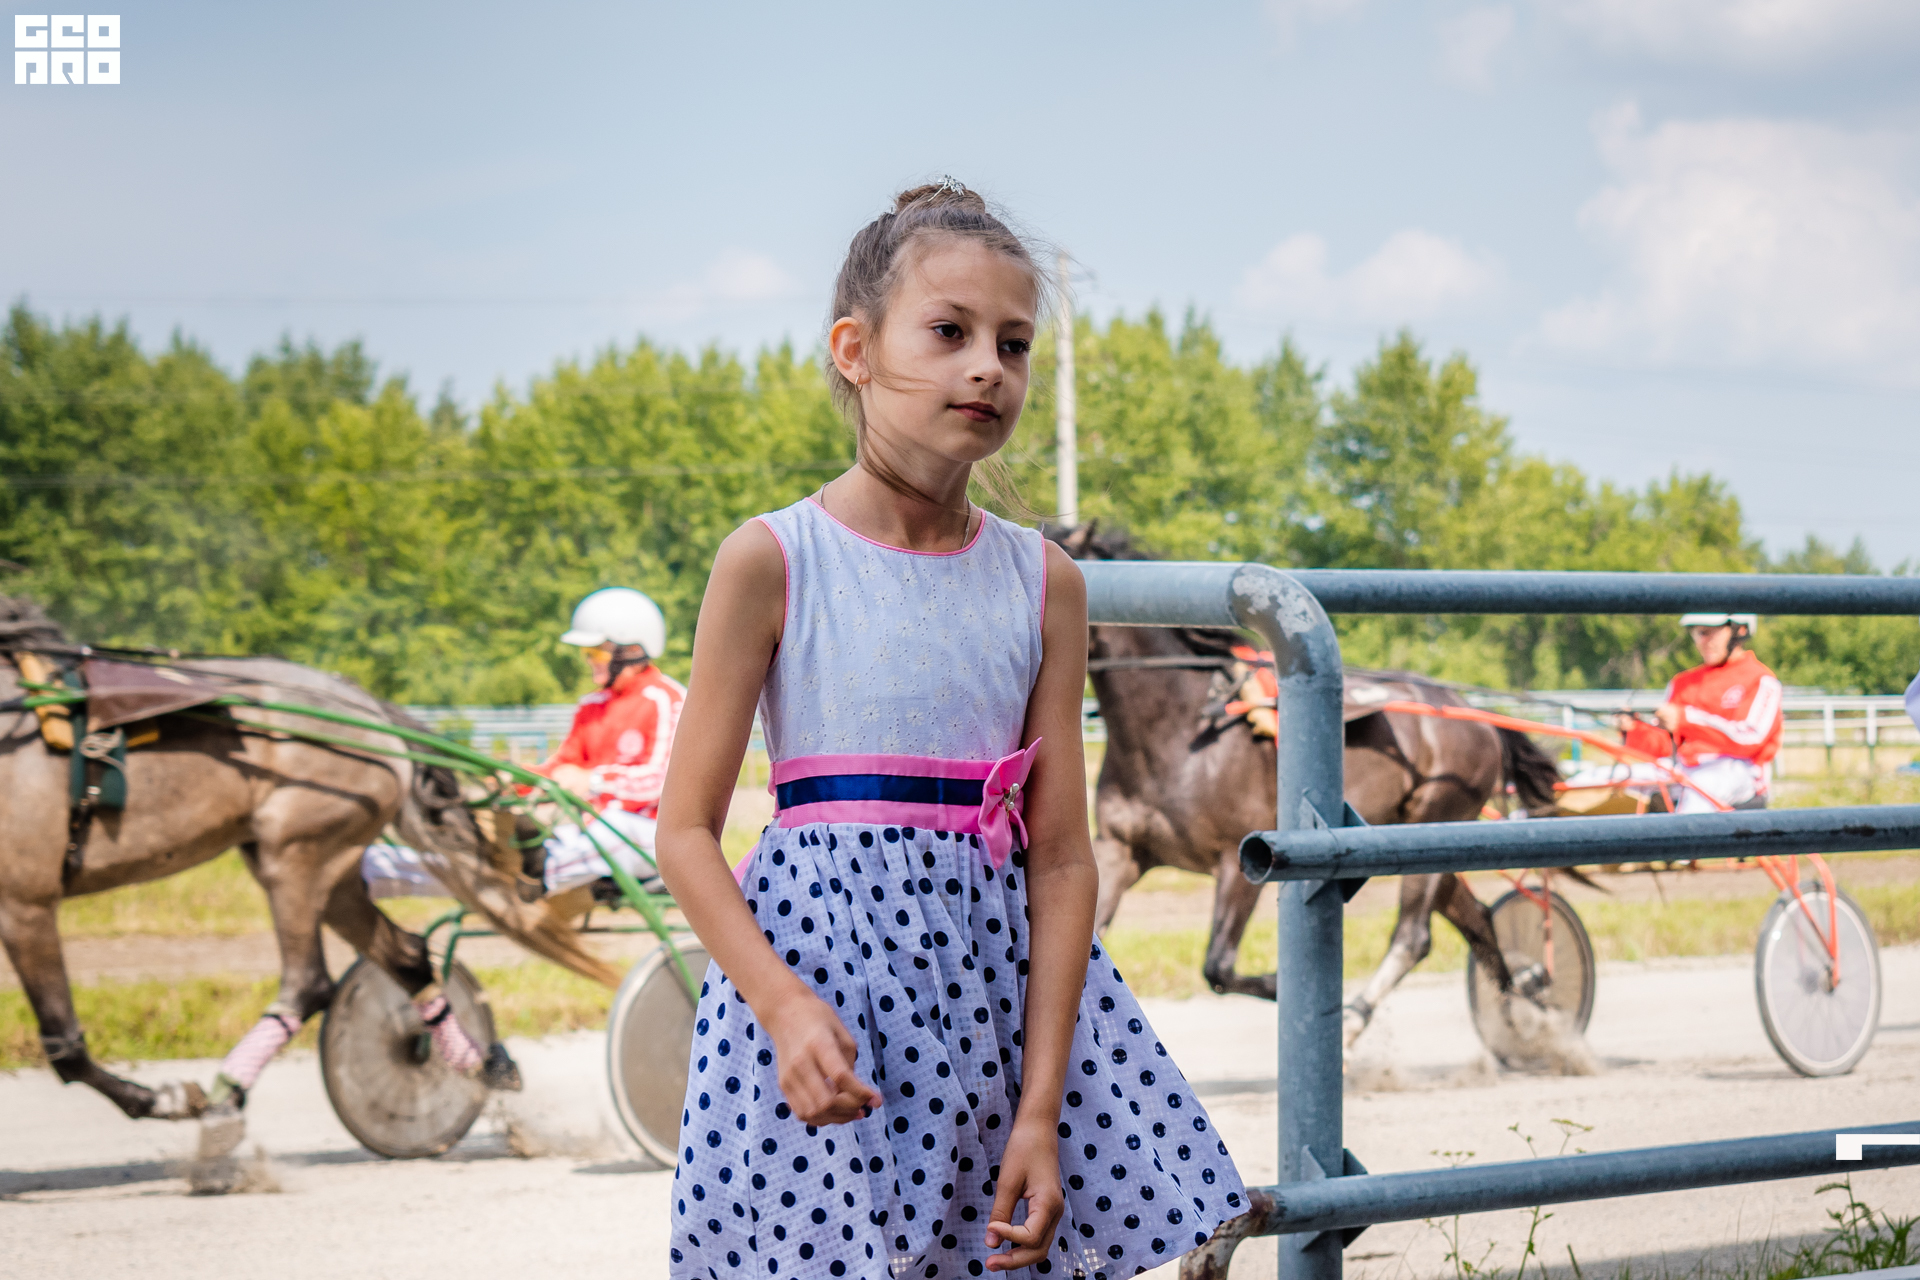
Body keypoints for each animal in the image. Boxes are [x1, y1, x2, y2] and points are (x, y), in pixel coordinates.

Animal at [0, 595, 612, 1143]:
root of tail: (358, 701)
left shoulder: (25, 900)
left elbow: (65, 1044)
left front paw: (167, 1099)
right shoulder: (23, 903)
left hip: (293, 853)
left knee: (308, 981)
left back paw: (225, 1096)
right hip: (330, 868)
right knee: (407, 956)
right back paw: (480, 1064)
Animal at [1053, 527, 1563, 1055]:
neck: (1180, 728)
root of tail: (1473, 714)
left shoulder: (1236, 862)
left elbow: (1218, 967)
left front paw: (1289, 989)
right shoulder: (1120, 851)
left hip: (1439, 815)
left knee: (1412, 936)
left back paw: (1358, 1018)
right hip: (1426, 841)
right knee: (1475, 917)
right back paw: (1528, 1013)